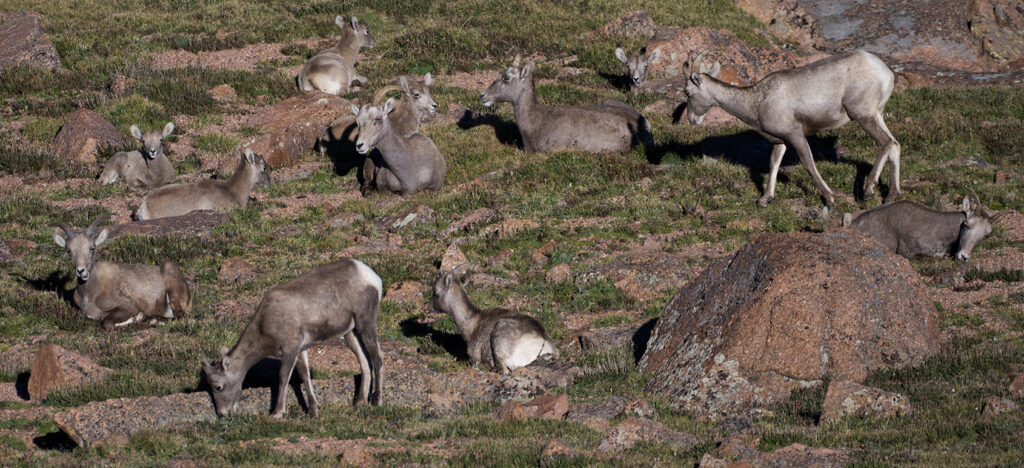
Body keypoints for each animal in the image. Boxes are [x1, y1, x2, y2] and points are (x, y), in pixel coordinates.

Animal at [52, 216, 191, 330]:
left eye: (92, 248)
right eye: (69, 251)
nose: (81, 271)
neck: (91, 294)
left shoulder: (128, 306)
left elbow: (107, 323)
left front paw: (137, 317)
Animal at [202, 259, 383, 418]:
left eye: (218, 387)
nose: (222, 414)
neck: (266, 323)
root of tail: (371, 276)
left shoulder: (290, 349)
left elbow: (283, 377)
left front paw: (277, 413)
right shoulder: (300, 350)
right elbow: (304, 375)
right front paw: (313, 412)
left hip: (365, 323)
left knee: (377, 358)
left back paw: (377, 401)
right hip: (350, 333)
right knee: (364, 362)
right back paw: (360, 403)